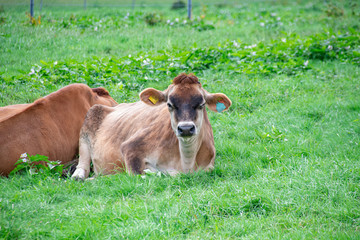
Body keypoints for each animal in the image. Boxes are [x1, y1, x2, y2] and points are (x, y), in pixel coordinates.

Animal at [71, 73, 232, 180]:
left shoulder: (210, 165)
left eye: (202, 104)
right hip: (87, 129)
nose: (186, 128)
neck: (186, 162)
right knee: (81, 169)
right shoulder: (130, 148)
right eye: (169, 104)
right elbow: (147, 174)